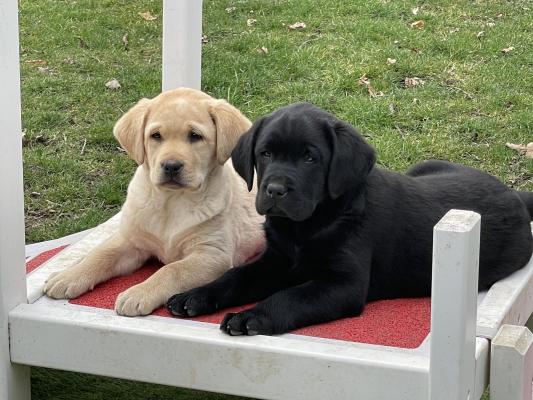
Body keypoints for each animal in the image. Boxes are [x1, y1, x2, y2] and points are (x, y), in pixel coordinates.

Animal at [43, 89, 264, 318]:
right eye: (156, 135)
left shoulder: (212, 254)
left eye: (195, 136)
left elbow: (171, 270)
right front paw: (69, 275)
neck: (172, 201)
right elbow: (101, 254)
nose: (171, 166)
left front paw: (139, 293)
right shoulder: (131, 240)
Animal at [168, 102, 532, 334]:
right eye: (265, 153)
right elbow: (235, 277)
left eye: (310, 158)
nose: (274, 190)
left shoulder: (343, 284)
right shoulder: (275, 261)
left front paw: (251, 316)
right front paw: (195, 295)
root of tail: (512, 193)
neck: (305, 227)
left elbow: (289, 297)